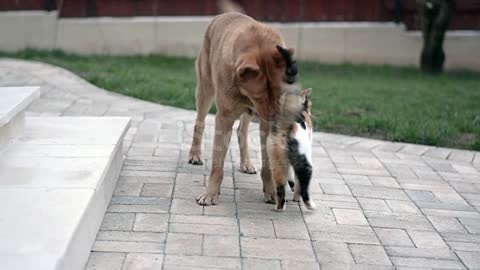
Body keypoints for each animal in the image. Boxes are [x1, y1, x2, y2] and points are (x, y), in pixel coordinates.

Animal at [188, 11, 298, 205]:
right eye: (259, 96)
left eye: (280, 94)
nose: (276, 121)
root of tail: (222, 15)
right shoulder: (224, 117)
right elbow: (217, 164)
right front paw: (210, 194)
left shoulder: (264, 121)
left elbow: (267, 164)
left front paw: (271, 192)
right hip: (205, 89)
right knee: (199, 123)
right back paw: (195, 155)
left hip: (247, 112)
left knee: (242, 131)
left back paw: (246, 163)